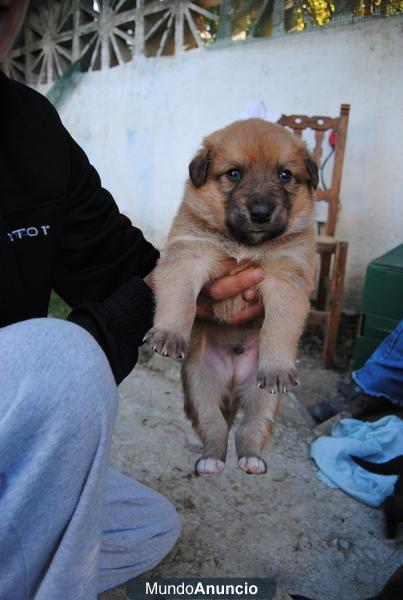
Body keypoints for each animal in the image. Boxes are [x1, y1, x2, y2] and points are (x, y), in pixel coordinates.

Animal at [145, 119, 318, 476]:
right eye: (234, 173)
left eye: (285, 175)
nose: (261, 212)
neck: (244, 244)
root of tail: (234, 380)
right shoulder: (189, 256)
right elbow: (179, 300)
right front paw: (169, 334)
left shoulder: (286, 278)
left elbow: (279, 327)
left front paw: (279, 364)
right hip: (200, 384)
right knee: (215, 427)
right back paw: (211, 460)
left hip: (263, 395)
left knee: (249, 428)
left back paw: (251, 459)